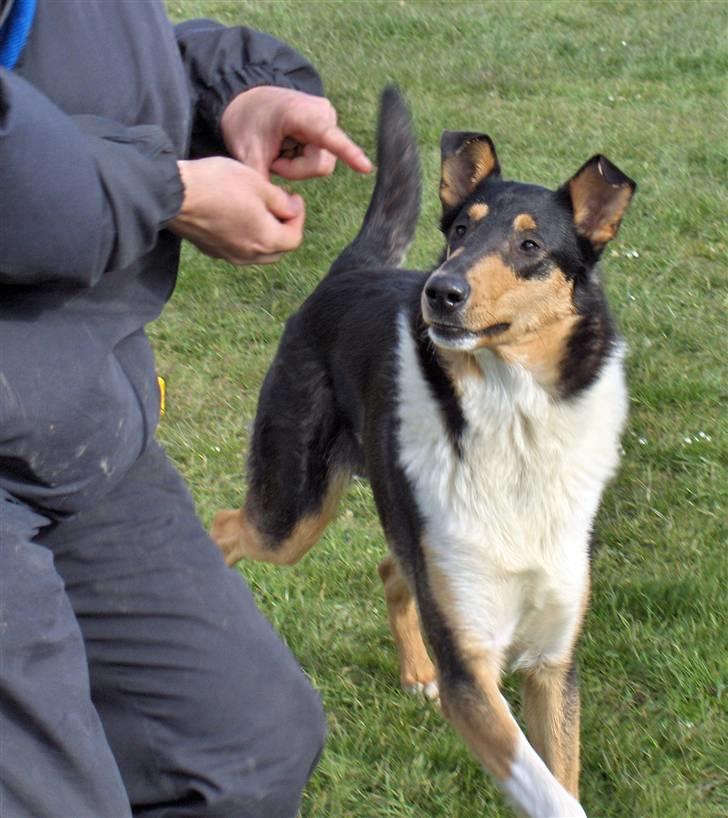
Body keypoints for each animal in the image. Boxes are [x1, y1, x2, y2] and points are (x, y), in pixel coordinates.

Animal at [210, 87, 632, 816]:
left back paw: (415, 673)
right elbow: (553, 796)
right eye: (460, 230)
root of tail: (355, 269)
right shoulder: (473, 669)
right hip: (292, 514)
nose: (442, 290)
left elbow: (562, 778)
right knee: (223, 528)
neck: (514, 426)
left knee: (389, 566)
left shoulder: (553, 664)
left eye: (530, 244)